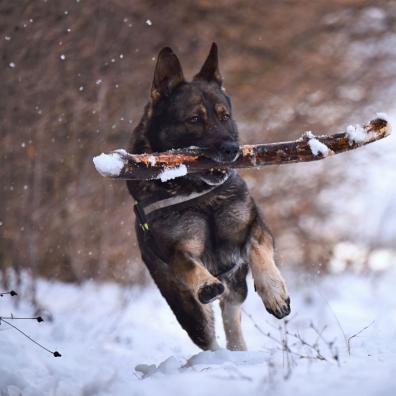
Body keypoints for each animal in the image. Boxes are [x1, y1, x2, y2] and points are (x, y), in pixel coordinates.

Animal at [127, 43, 290, 352]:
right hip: (188, 311)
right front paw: (206, 283)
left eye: (224, 116)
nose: (232, 150)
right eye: (194, 119)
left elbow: (258, 250)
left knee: (232, 314)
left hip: (236, 287)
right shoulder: (176, 251)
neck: (200, 195)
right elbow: (190, 264)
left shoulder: (255, 226)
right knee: (208, 333)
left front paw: (274, 292)